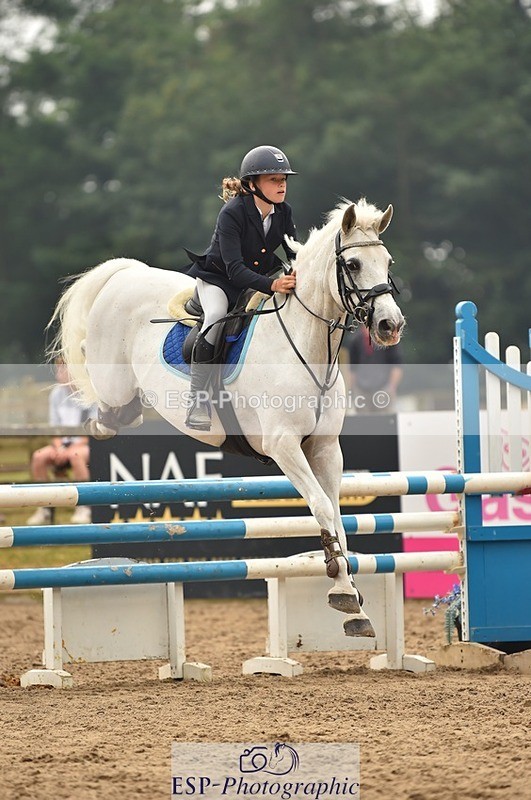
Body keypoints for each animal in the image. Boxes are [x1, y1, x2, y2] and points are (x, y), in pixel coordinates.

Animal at [49, 197, 405, 638]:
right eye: (353, 264)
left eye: (387, 262)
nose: (390, 326)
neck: (308, 345)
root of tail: (127, 272)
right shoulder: (284, 447)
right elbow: (321, 507)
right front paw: (344, 595)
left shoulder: (324, 448)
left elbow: (337, 517)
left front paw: (351, 599)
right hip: (112, 376)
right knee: (101, 391)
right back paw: (97, 418)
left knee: (123, 412)